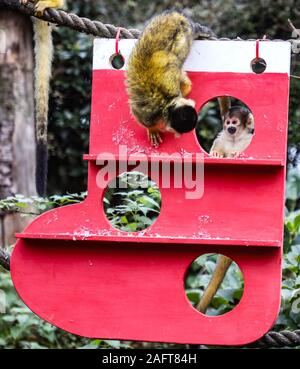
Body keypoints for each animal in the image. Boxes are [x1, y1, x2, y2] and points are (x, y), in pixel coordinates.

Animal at [125, 11, 200, 147]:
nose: (180, 136)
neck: (167, 104)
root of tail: (177, 16)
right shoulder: (149, 115)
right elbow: (138, 114)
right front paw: (152, 129)